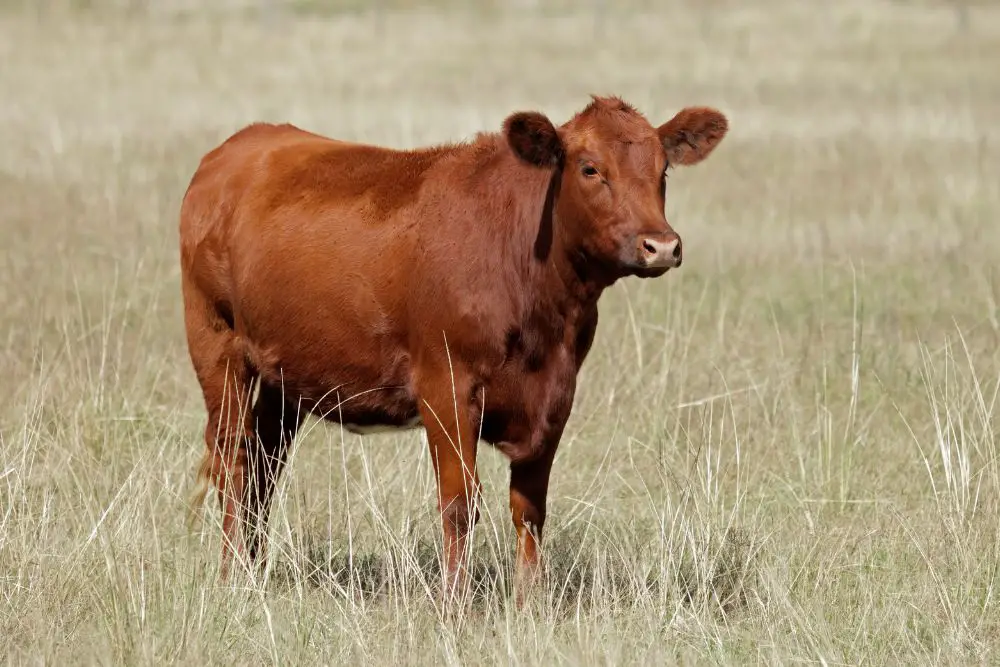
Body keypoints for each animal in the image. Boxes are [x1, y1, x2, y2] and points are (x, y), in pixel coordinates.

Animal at [180, 96, 728, 604]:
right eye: (591, 168)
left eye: (662, 169)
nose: (661, 246)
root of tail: (241, 144)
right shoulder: (445, 386)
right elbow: (460, 502)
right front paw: (455, 606)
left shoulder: (556, 395)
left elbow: (530, 508)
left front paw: (529, 604)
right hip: (216, 345)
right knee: (234, 459)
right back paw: (231, 577)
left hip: (286, 376)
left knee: (264, 467)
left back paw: (251, 570)